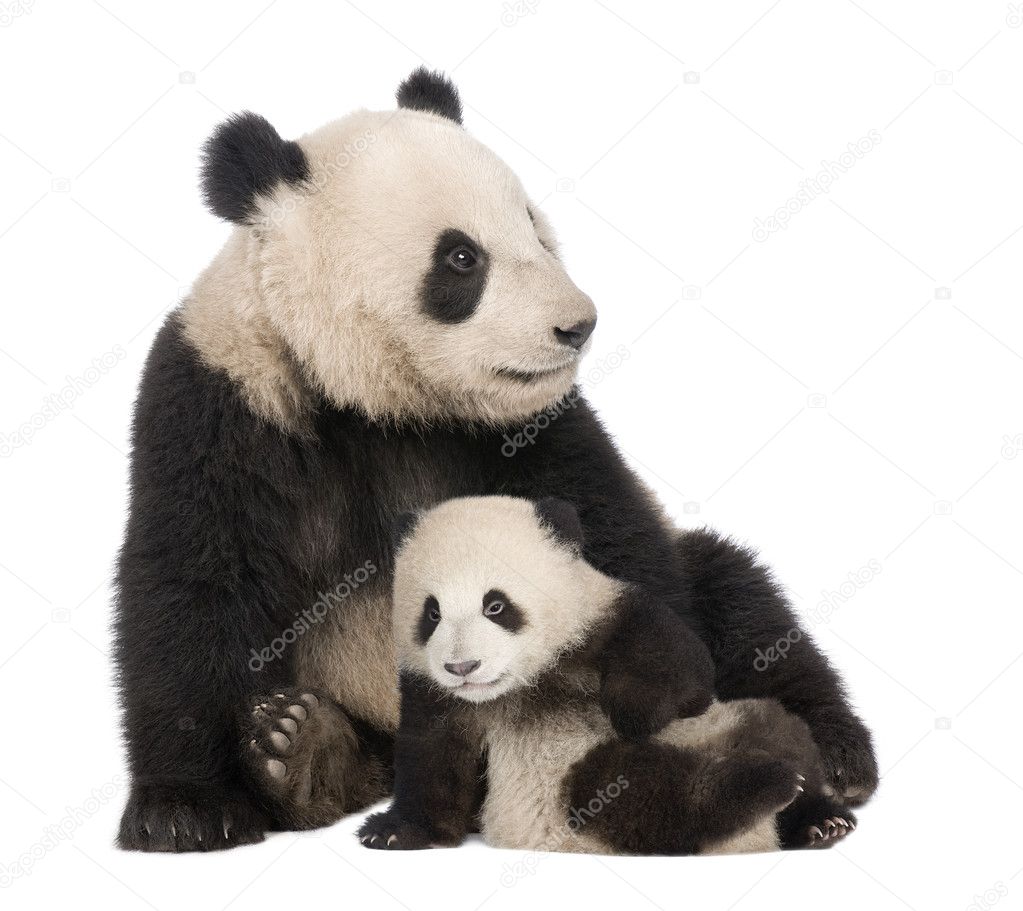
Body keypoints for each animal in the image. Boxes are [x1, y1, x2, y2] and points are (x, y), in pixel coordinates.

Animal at [357, 496, 856, 855]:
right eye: (432, 612)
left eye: (495, 605)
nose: (462, 668)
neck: (526, 683)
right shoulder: (435, 696)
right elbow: (432, 762)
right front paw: (392, 831)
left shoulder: (602, 615)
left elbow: (683, 667)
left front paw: (632, 711)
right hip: (583, 791)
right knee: (641, 798)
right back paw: (762, 785)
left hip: (722, 724)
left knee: (777, 727)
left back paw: (816, 814)